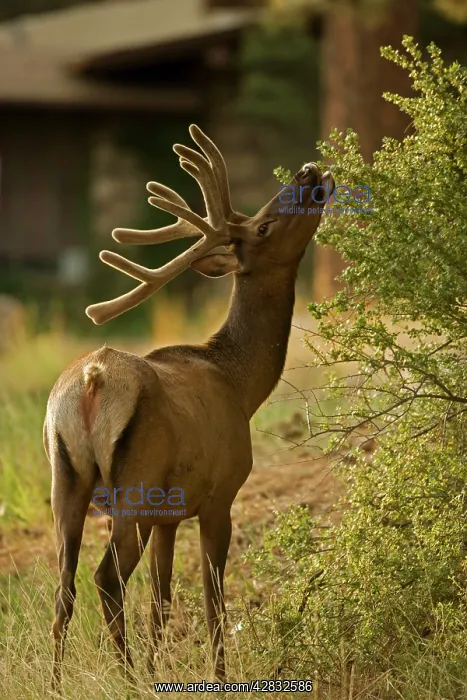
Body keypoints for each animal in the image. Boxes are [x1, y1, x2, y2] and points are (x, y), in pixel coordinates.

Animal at [43, 124, 333, 689]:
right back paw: (127, 678)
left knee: (64, 587)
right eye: (264, 225)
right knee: (106, 577)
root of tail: (92, 380)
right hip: (133, 484)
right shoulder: (219, 494)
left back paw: (57, 683)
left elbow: (162, 601)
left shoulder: (169, 515)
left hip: (66, 476)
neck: (242, 385)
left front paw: (162, 667)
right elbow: (212, 599)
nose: (309, 171)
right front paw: (219, 678)